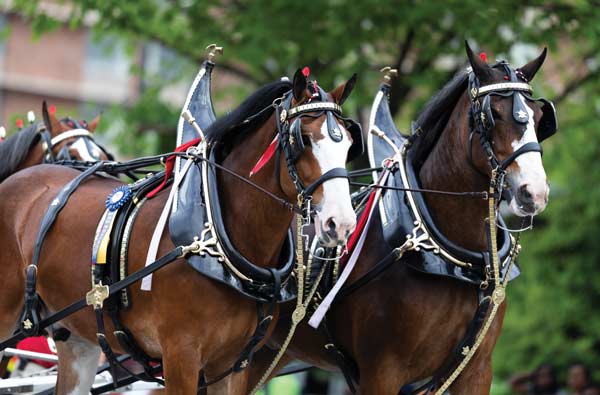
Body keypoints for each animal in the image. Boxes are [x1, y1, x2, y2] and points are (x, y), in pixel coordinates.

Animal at [0, 69, 358, 394]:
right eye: (304, 139)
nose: (340, 223)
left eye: (349, 144)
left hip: (78, 338)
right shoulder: (180, 356)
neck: (220, 237)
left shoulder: (233, 365)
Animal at [247, 44, 556, 395]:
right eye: (495, 115)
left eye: (540, 118)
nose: (534, 192)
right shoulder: (382, 372)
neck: (459, 262)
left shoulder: (477, 370)